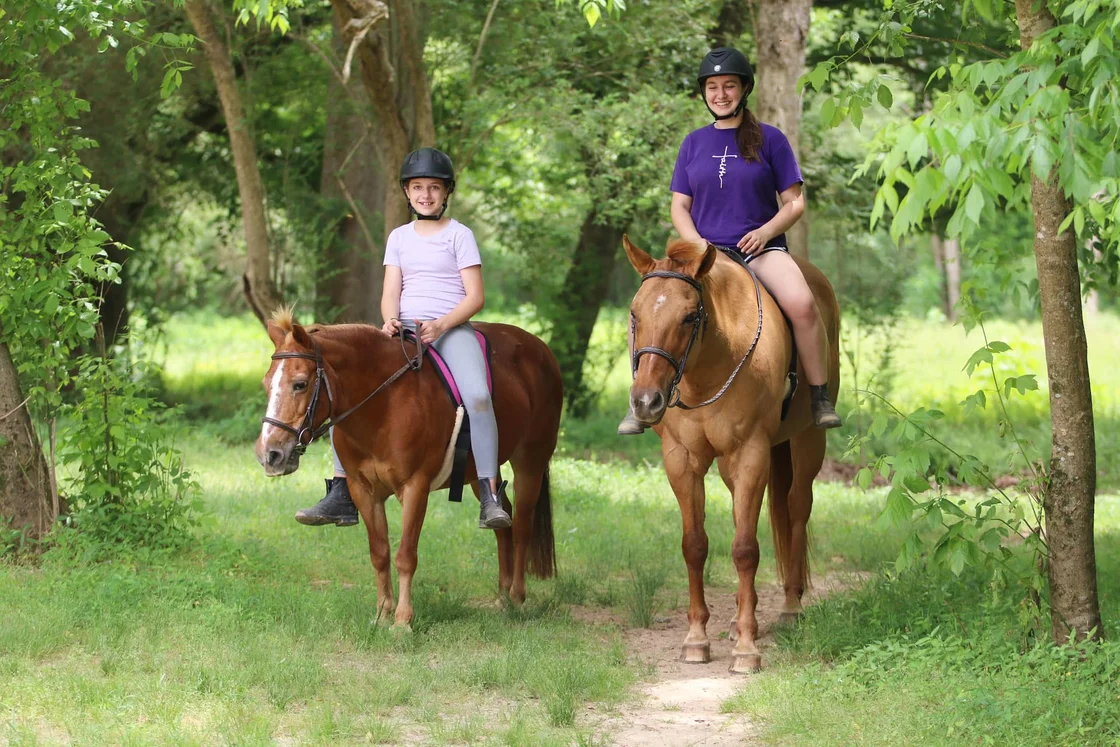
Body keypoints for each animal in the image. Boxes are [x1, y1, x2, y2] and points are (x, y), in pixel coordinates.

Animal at [254, 311, 563, 629]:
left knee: (523, 524)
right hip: (480, 473)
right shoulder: (363, 490)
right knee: (503, 519)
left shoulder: (415, 488)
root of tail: (539, 347)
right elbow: (379, 553)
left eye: (300, 384)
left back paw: (517, 596)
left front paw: (402, 620)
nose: (269, 454)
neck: (383, 406)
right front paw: (382, 614)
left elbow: (405, 556)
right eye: (267, 384)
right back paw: (502, 596)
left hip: (530, 460)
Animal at [623, 236, 840, 674]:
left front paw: (746, 649)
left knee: (796, 509)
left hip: (807, 442)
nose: (646, 402)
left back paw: (789, 608)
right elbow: (694, 545)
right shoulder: (681, 459)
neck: (706, 370)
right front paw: (697, 639)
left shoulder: (751, 453)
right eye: (635, 313)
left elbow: (744, 549)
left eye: (690, 316)